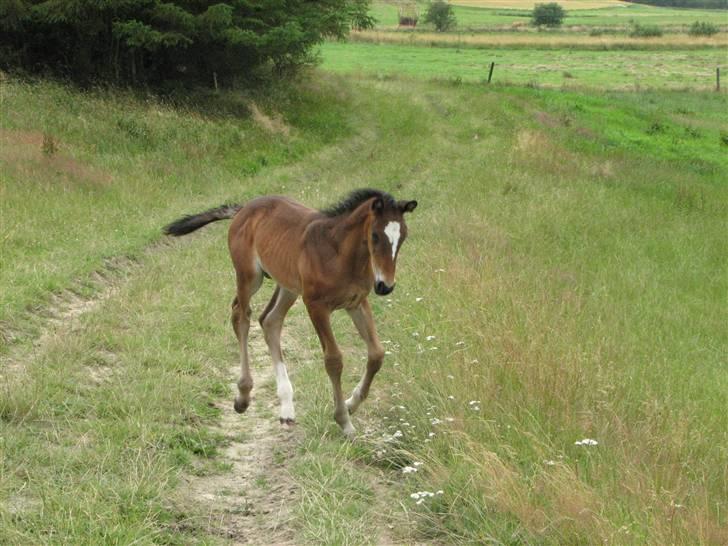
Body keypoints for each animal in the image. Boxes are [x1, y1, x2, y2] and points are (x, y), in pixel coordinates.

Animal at [164, 189, 416, 436]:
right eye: (375, 236)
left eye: (403, 237)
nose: (385, 286)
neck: (340, 253)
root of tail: (244, 208)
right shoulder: (315, 305)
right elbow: (334, 360)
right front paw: (344, 421)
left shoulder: (357, 302)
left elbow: (377, 354)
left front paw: (351, 403)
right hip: (249, 276)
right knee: (241, 316)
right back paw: (243, 396)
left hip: (287, 285)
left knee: (269, 320)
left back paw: (286, 408)